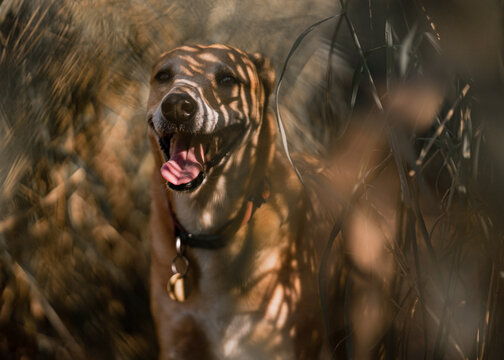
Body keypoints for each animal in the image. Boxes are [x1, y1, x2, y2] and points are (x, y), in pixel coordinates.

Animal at [146, 43, 346, 358]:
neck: (206, 221)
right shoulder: (176, 341)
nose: (177, 105)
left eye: (228, 79)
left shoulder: (277, 343)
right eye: (163, 76)